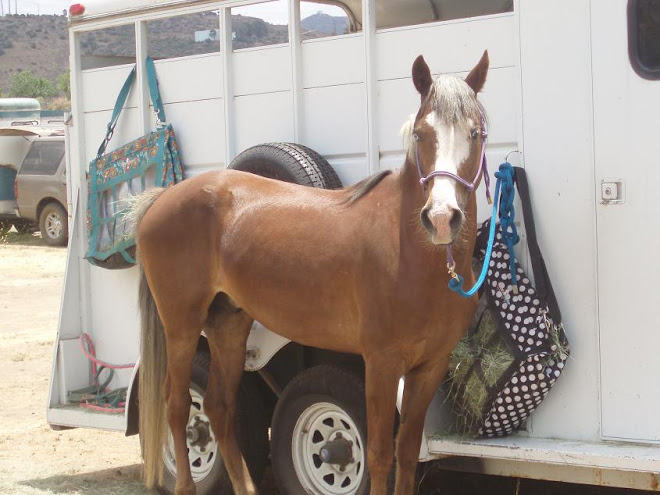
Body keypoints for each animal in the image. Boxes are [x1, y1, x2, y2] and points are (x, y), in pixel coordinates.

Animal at [137, 51, 490, 495]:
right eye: (421, 134)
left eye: (475, 133)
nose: (442, 217)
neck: (416, 257)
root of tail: (163, 198)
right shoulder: (381, 362)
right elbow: (379, 453)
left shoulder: (430, 367)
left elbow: (407, 453)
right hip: (182, 324)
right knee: (179, 406)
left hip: (228, 324)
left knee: (219, 407)